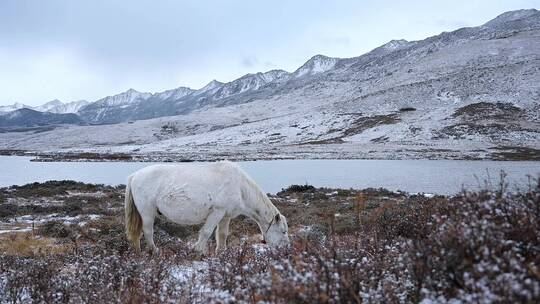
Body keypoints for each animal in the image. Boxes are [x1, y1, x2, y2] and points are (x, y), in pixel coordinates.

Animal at [124, 162, 288, 254]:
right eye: (283, 231)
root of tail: (134, 176)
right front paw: (199, 251)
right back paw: (154, 251)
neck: (240, 187)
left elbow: (222, 235)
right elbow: (206, 232)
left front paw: (221, 253)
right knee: (147, 231)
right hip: (147, 212)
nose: (286, 250)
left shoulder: (225, 215)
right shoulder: (217, 212)